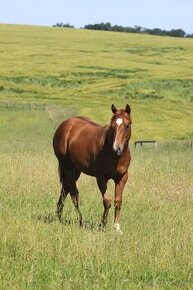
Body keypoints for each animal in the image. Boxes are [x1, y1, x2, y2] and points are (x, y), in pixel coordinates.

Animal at [52, 103, 131, 233]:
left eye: (127, 126)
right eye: (112, 126)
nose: (116, 149)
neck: (115, 156)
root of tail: (65, 125)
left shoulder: (122, 178)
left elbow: (118, 201)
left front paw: (117, 228)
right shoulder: (101, 177)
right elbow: (107, 201)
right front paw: (102, 225)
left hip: (76, 170)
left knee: (65, 189)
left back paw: (58, 216)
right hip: (67, 166)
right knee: (74, 194)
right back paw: (81, 221)